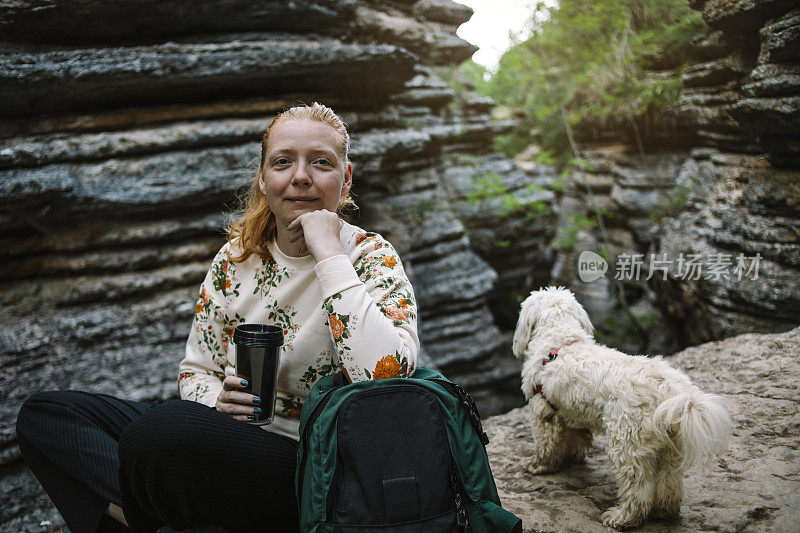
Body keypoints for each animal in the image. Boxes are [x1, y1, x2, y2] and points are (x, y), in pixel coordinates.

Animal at [512, 286, 732, 528]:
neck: (560, 343)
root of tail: (667, 389)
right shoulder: (574, 412)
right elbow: (577, 437)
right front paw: (571, 457)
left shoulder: (543, 410)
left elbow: (546, 444)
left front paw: (539, 465)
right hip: (671, 447)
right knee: (669, 480)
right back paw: (664, 511)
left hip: (625, 441)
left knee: (637, 485)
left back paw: (622, 517)